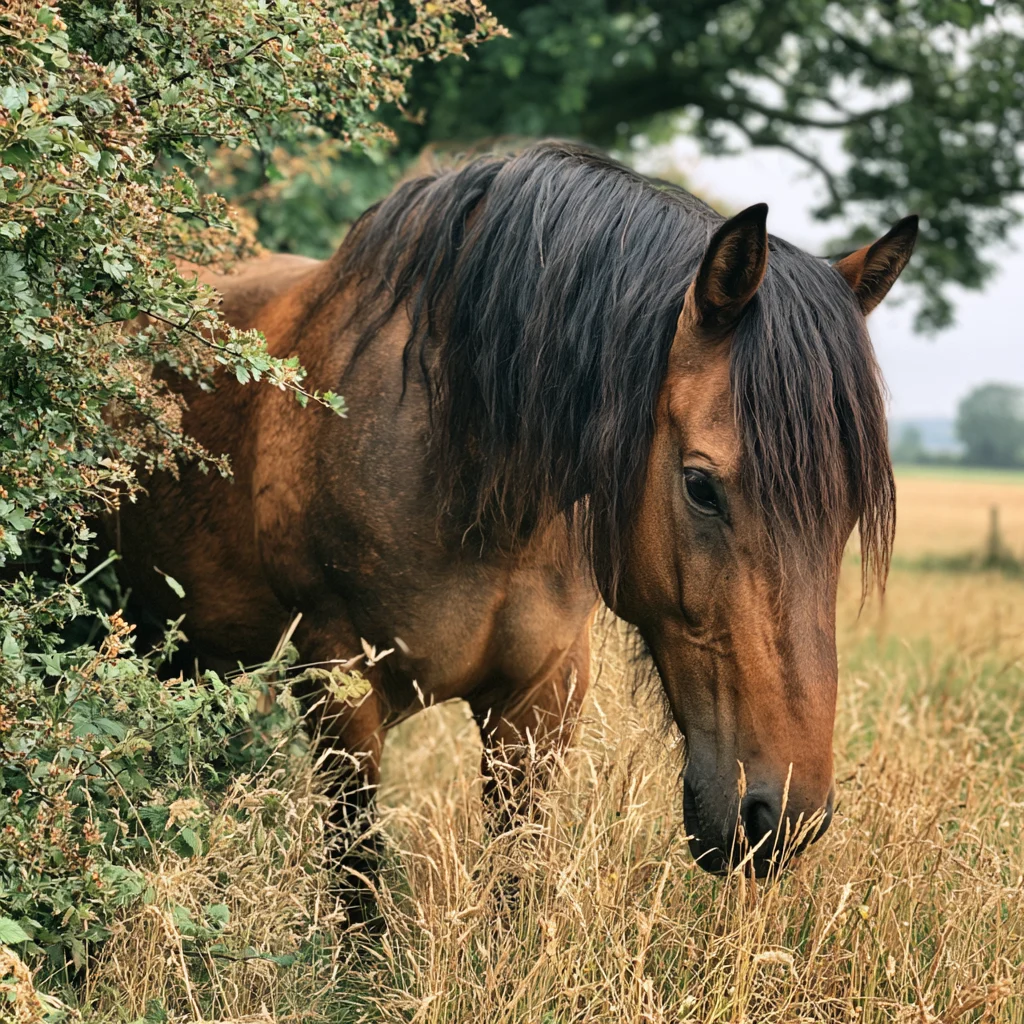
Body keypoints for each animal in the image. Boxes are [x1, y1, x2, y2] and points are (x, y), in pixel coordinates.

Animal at [111, 141, 915, 879]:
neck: (466, 486)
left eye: (848, 509)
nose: (785, 818)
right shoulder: (340, 689)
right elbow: (359, 881)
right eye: (700, 486)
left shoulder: (541, 702)